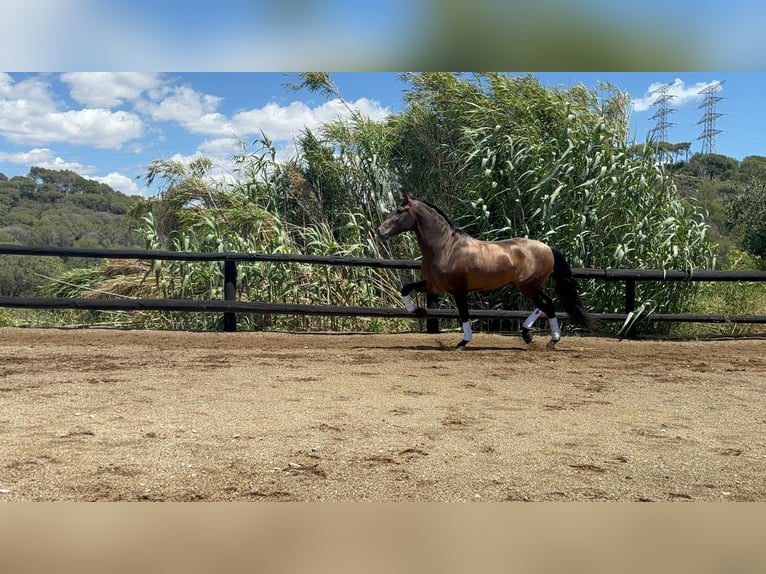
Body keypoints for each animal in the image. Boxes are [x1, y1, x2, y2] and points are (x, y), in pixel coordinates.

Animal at [378, 196, 600, 352]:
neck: (445, 247)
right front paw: (418, 310)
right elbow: (405, 289)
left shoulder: (458, 290)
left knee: (547, 304)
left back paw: (551, 340)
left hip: (528, 285)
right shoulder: (433, 285)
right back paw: (529, 334)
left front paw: (463, 342)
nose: (380, 231)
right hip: (530, 286)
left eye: (399, 211)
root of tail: (547, 247)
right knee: (545, 304)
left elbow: (464, 314)